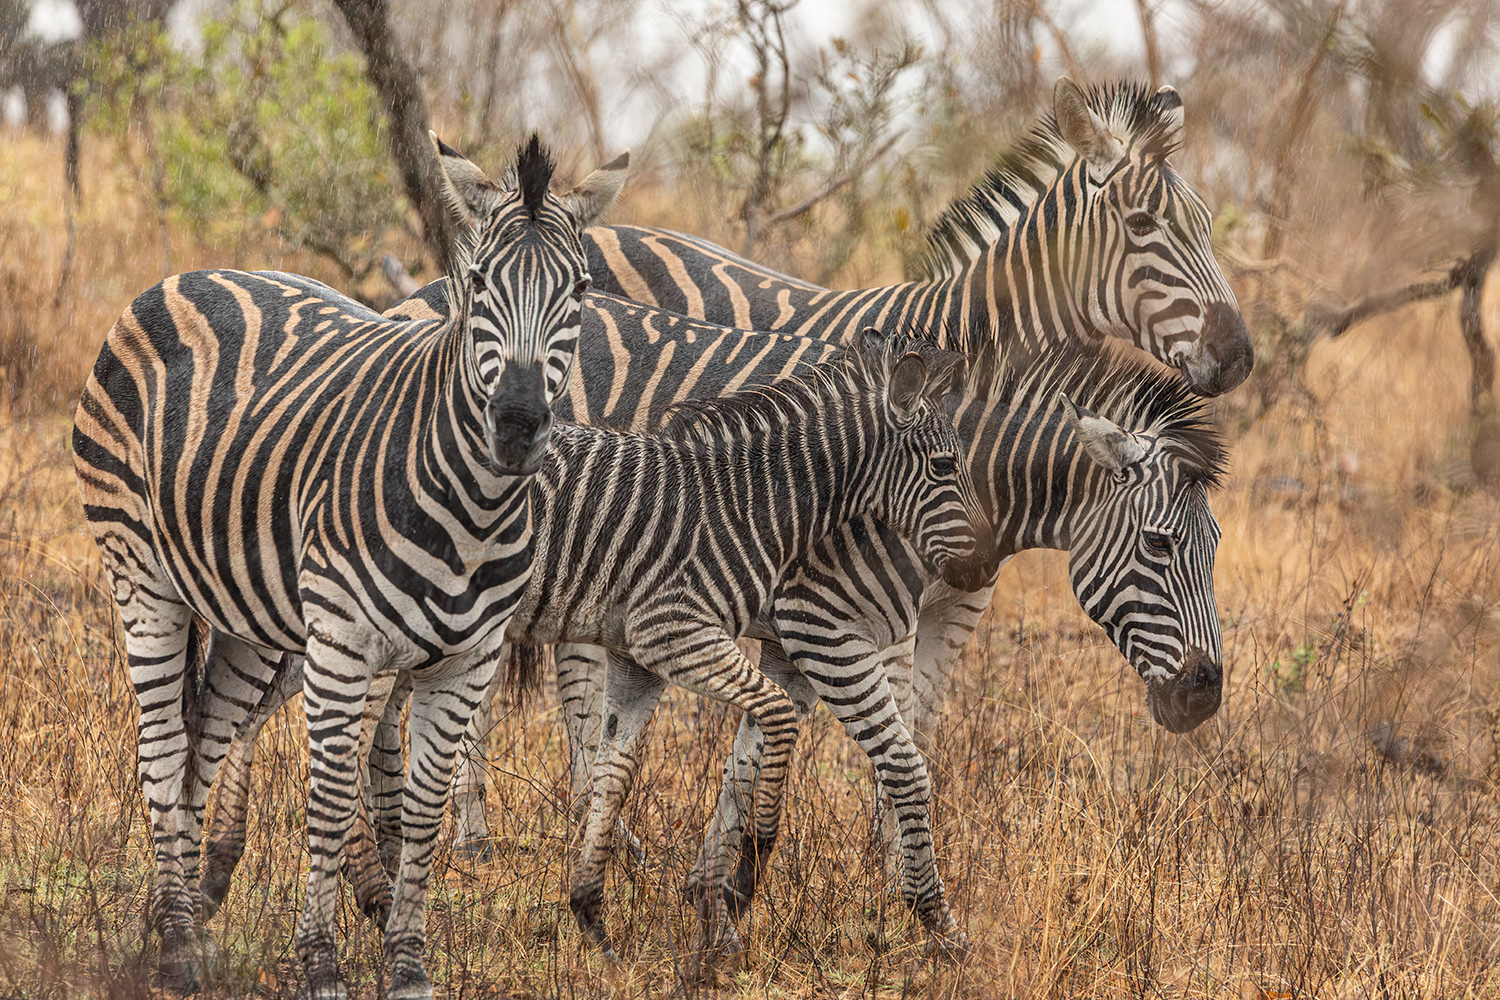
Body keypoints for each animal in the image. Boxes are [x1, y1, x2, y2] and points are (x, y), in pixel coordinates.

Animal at [70, 134, 627, 1000]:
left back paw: (175, 918)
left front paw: (407, 965)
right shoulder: (343, 642)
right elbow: (332, 798)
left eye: (579, 290)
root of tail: (182, 275)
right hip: (141, 573)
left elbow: (424, 809)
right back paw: (180, 948)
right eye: (478, 282)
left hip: (247, 615)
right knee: (160, 748)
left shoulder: (468, 659)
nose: (518, 423)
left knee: (203, 741)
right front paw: (320, 963)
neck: (474, 510)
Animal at [196, 335, 996, 977]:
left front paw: (591, 915)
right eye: (944, 466)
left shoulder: (638, 658)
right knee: (281, 729)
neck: (746, 504)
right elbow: (775, 719)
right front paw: (750, 869)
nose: (982, 567)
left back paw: (225, 876)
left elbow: (615, 769)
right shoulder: (677, 631)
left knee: (253, 719)